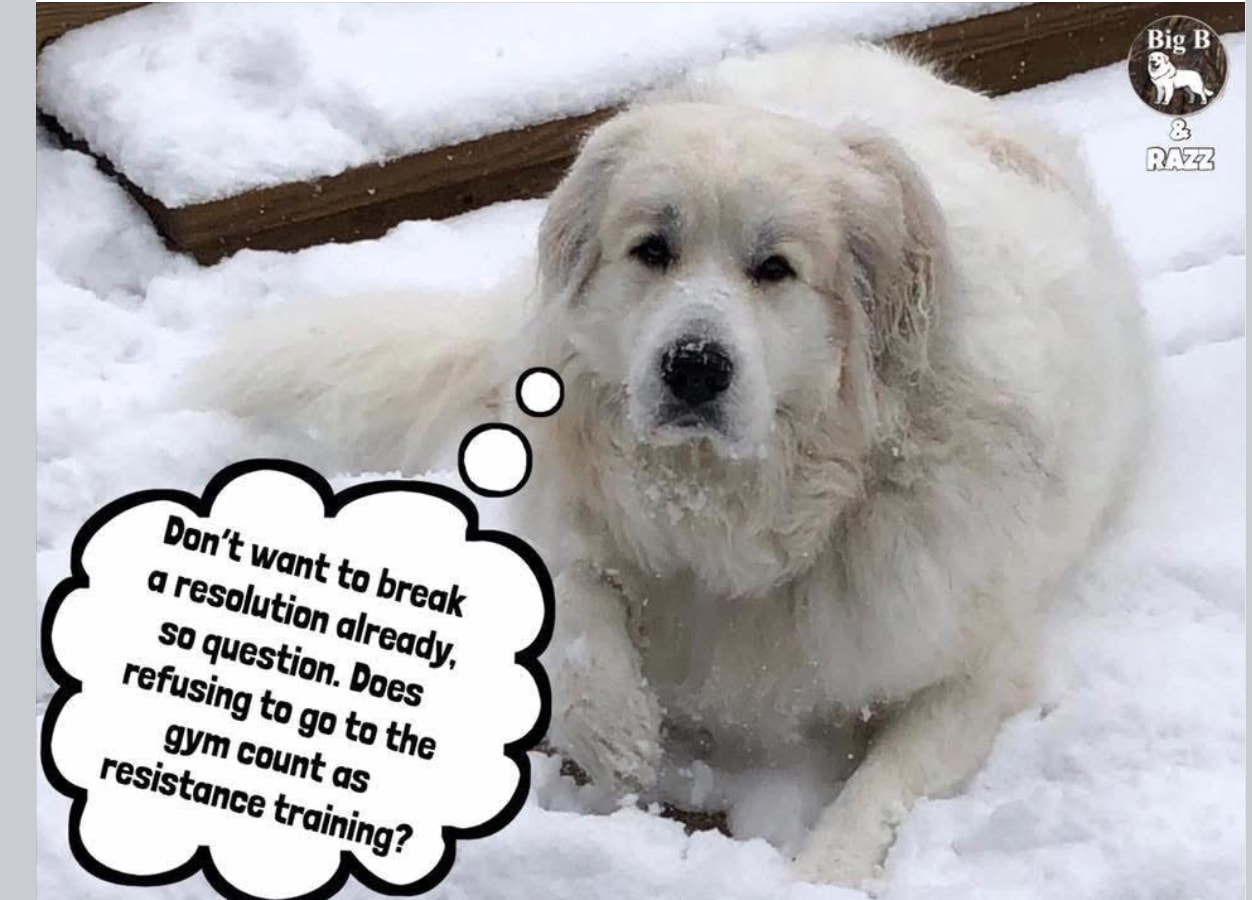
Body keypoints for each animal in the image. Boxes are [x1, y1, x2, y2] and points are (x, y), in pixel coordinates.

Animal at [196, 44, 1151, 887]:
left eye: (775, 268)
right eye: (653, 249)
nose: (693, 367)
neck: (739, 506)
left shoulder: (978, 667)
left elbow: (882, 784)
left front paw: (824, 873)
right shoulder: (572, 508)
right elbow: (581, 602)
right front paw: (617, 732)